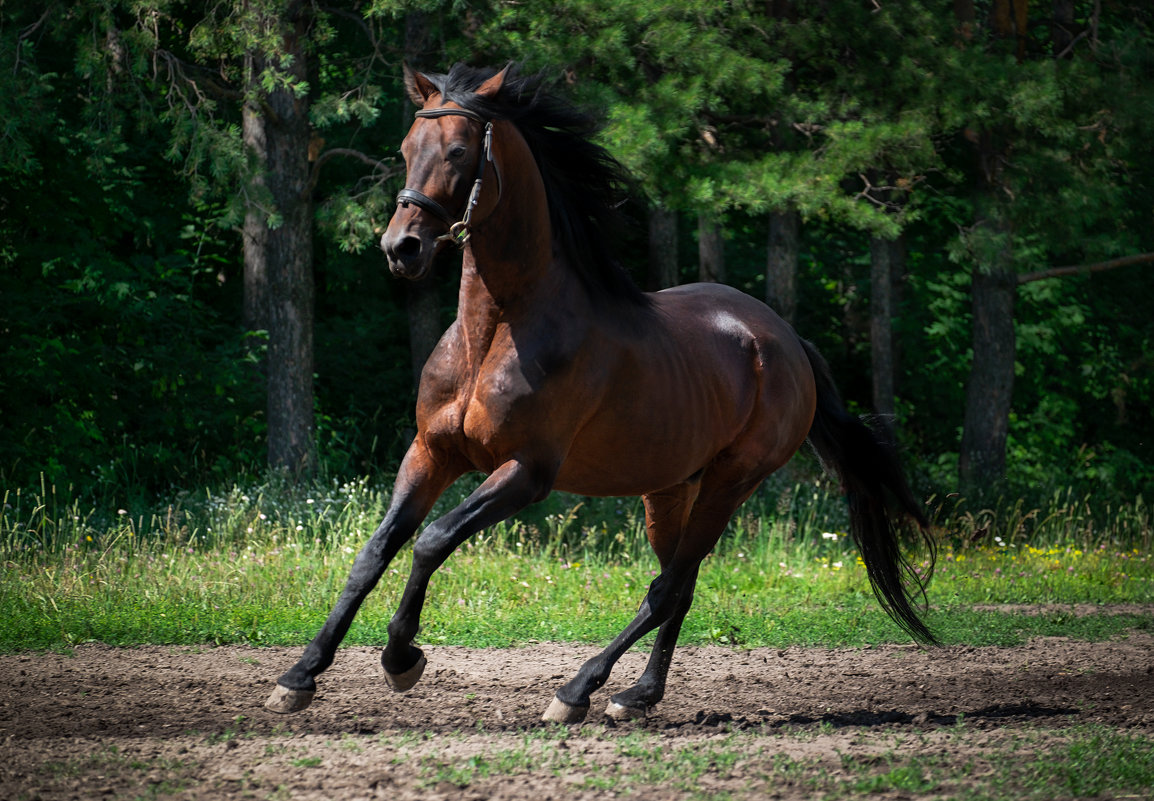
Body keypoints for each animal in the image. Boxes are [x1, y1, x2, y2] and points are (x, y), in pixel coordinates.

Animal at [264, 62, 937, 724]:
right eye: (406, 149)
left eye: (458, 151)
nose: (400, 248)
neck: (495, 333)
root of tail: (786, 340)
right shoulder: (432, 452)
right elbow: (374, 552)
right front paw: (299, 677)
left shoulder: (527, 471)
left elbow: (431, 542)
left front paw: (402, 657)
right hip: (669, 488)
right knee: (680, 586)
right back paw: (637, 695)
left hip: (730, 482)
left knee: (666, 589)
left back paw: (578, 691)